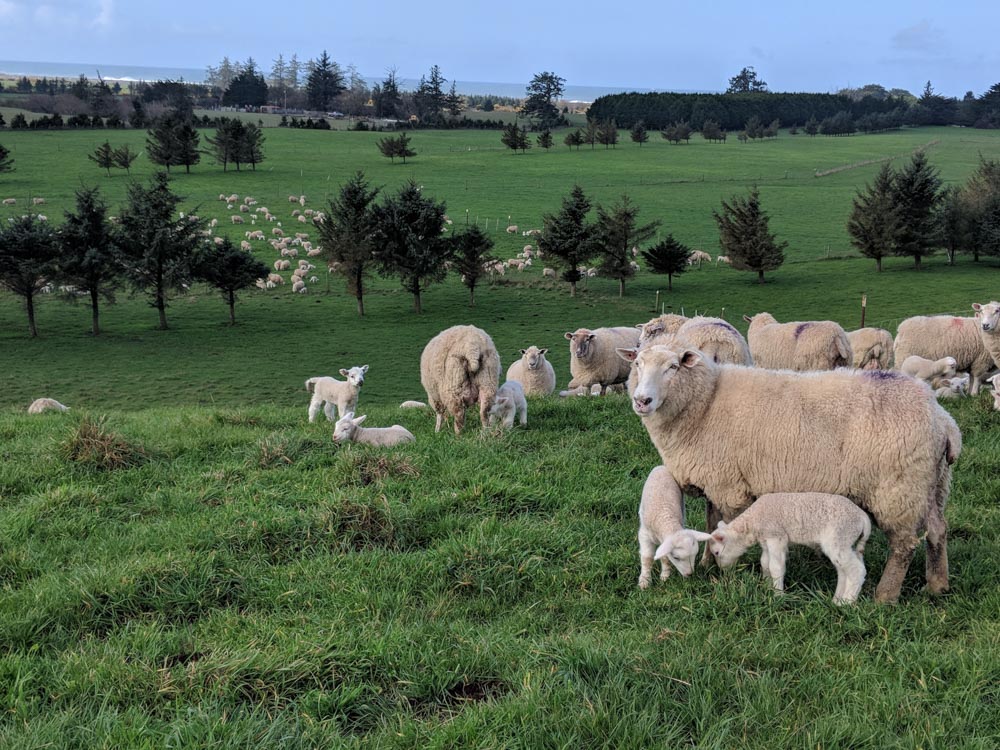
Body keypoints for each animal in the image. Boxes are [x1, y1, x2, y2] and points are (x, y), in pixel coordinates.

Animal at [708, 494, 872, 604]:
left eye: (717, 552)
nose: (723, 570)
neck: (751, 523)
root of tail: (863, 518)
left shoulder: (777, 537)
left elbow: (776, 567)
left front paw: (778, 595)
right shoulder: (766, 540)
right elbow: (765, 563)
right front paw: (767, 588)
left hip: (840, 535)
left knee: (857, 570)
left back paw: (847, 603)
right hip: (845, 542)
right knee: (844, 571)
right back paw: (837, 601)